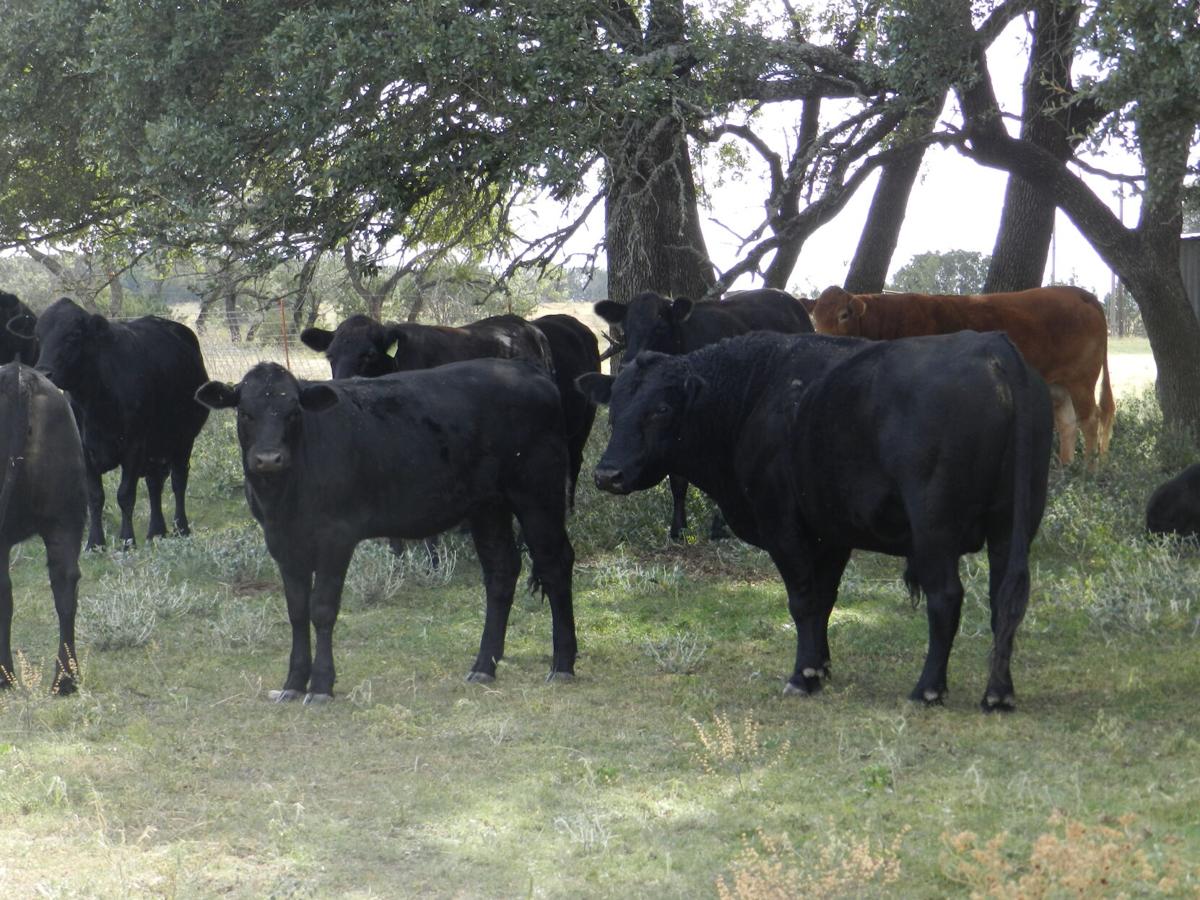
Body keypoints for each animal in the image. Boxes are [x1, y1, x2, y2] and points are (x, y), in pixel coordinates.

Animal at [34, 298, 210, 549]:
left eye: (74, 334)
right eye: (39, 336)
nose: (44, 373)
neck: (95, 401)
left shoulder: (133, 447)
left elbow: (125, 494)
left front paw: (127, 540)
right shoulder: (86, 451)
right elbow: (95, 497)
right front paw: (95, 543)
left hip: (183, 440)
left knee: (178, 481)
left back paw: (180, 528)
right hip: (155, 448)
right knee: (155, 484)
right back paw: (156, 531)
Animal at [195, 359, 577, 702]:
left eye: (293, 412)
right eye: (245, 412)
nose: (269, 459)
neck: (285, 497)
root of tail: (531, 373)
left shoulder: (337, 536)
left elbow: (322, 608)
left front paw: (321, 686)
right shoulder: (283, 542)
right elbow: (297, 611)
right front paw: (293, 683)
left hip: (537, 491)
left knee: (555, 564)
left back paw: (562, 664)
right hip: (488, 505)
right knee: (501, 571)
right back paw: (484, 665)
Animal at [579, 330, 1052, 711]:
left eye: (660, 408)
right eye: (614, 406)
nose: (607, 474)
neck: (755, 397)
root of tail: (992, 346)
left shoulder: (782, 525)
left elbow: (803, 599)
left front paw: (802, 676)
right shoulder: (832, 531)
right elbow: (825, 598)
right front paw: (821, 668)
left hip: (935, 528)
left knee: (946, 599)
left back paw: (928, 690)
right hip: (1012, 524)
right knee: (1004, 600)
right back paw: (998, 693)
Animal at [593, 288, 814, 539]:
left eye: (660, 326)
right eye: (625, 329)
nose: (628, 363)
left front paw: (719, 527)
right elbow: (678, 481)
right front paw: (678, 528)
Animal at [808, 285, 1114, 467]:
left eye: (844, 314)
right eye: (815, 318)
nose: (823, 339)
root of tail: (1078, 293)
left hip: (1081, 379)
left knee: (1090, 420)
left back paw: (1089, 470)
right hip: (1059, 385)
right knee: (1067, 423)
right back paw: (1065, 470)